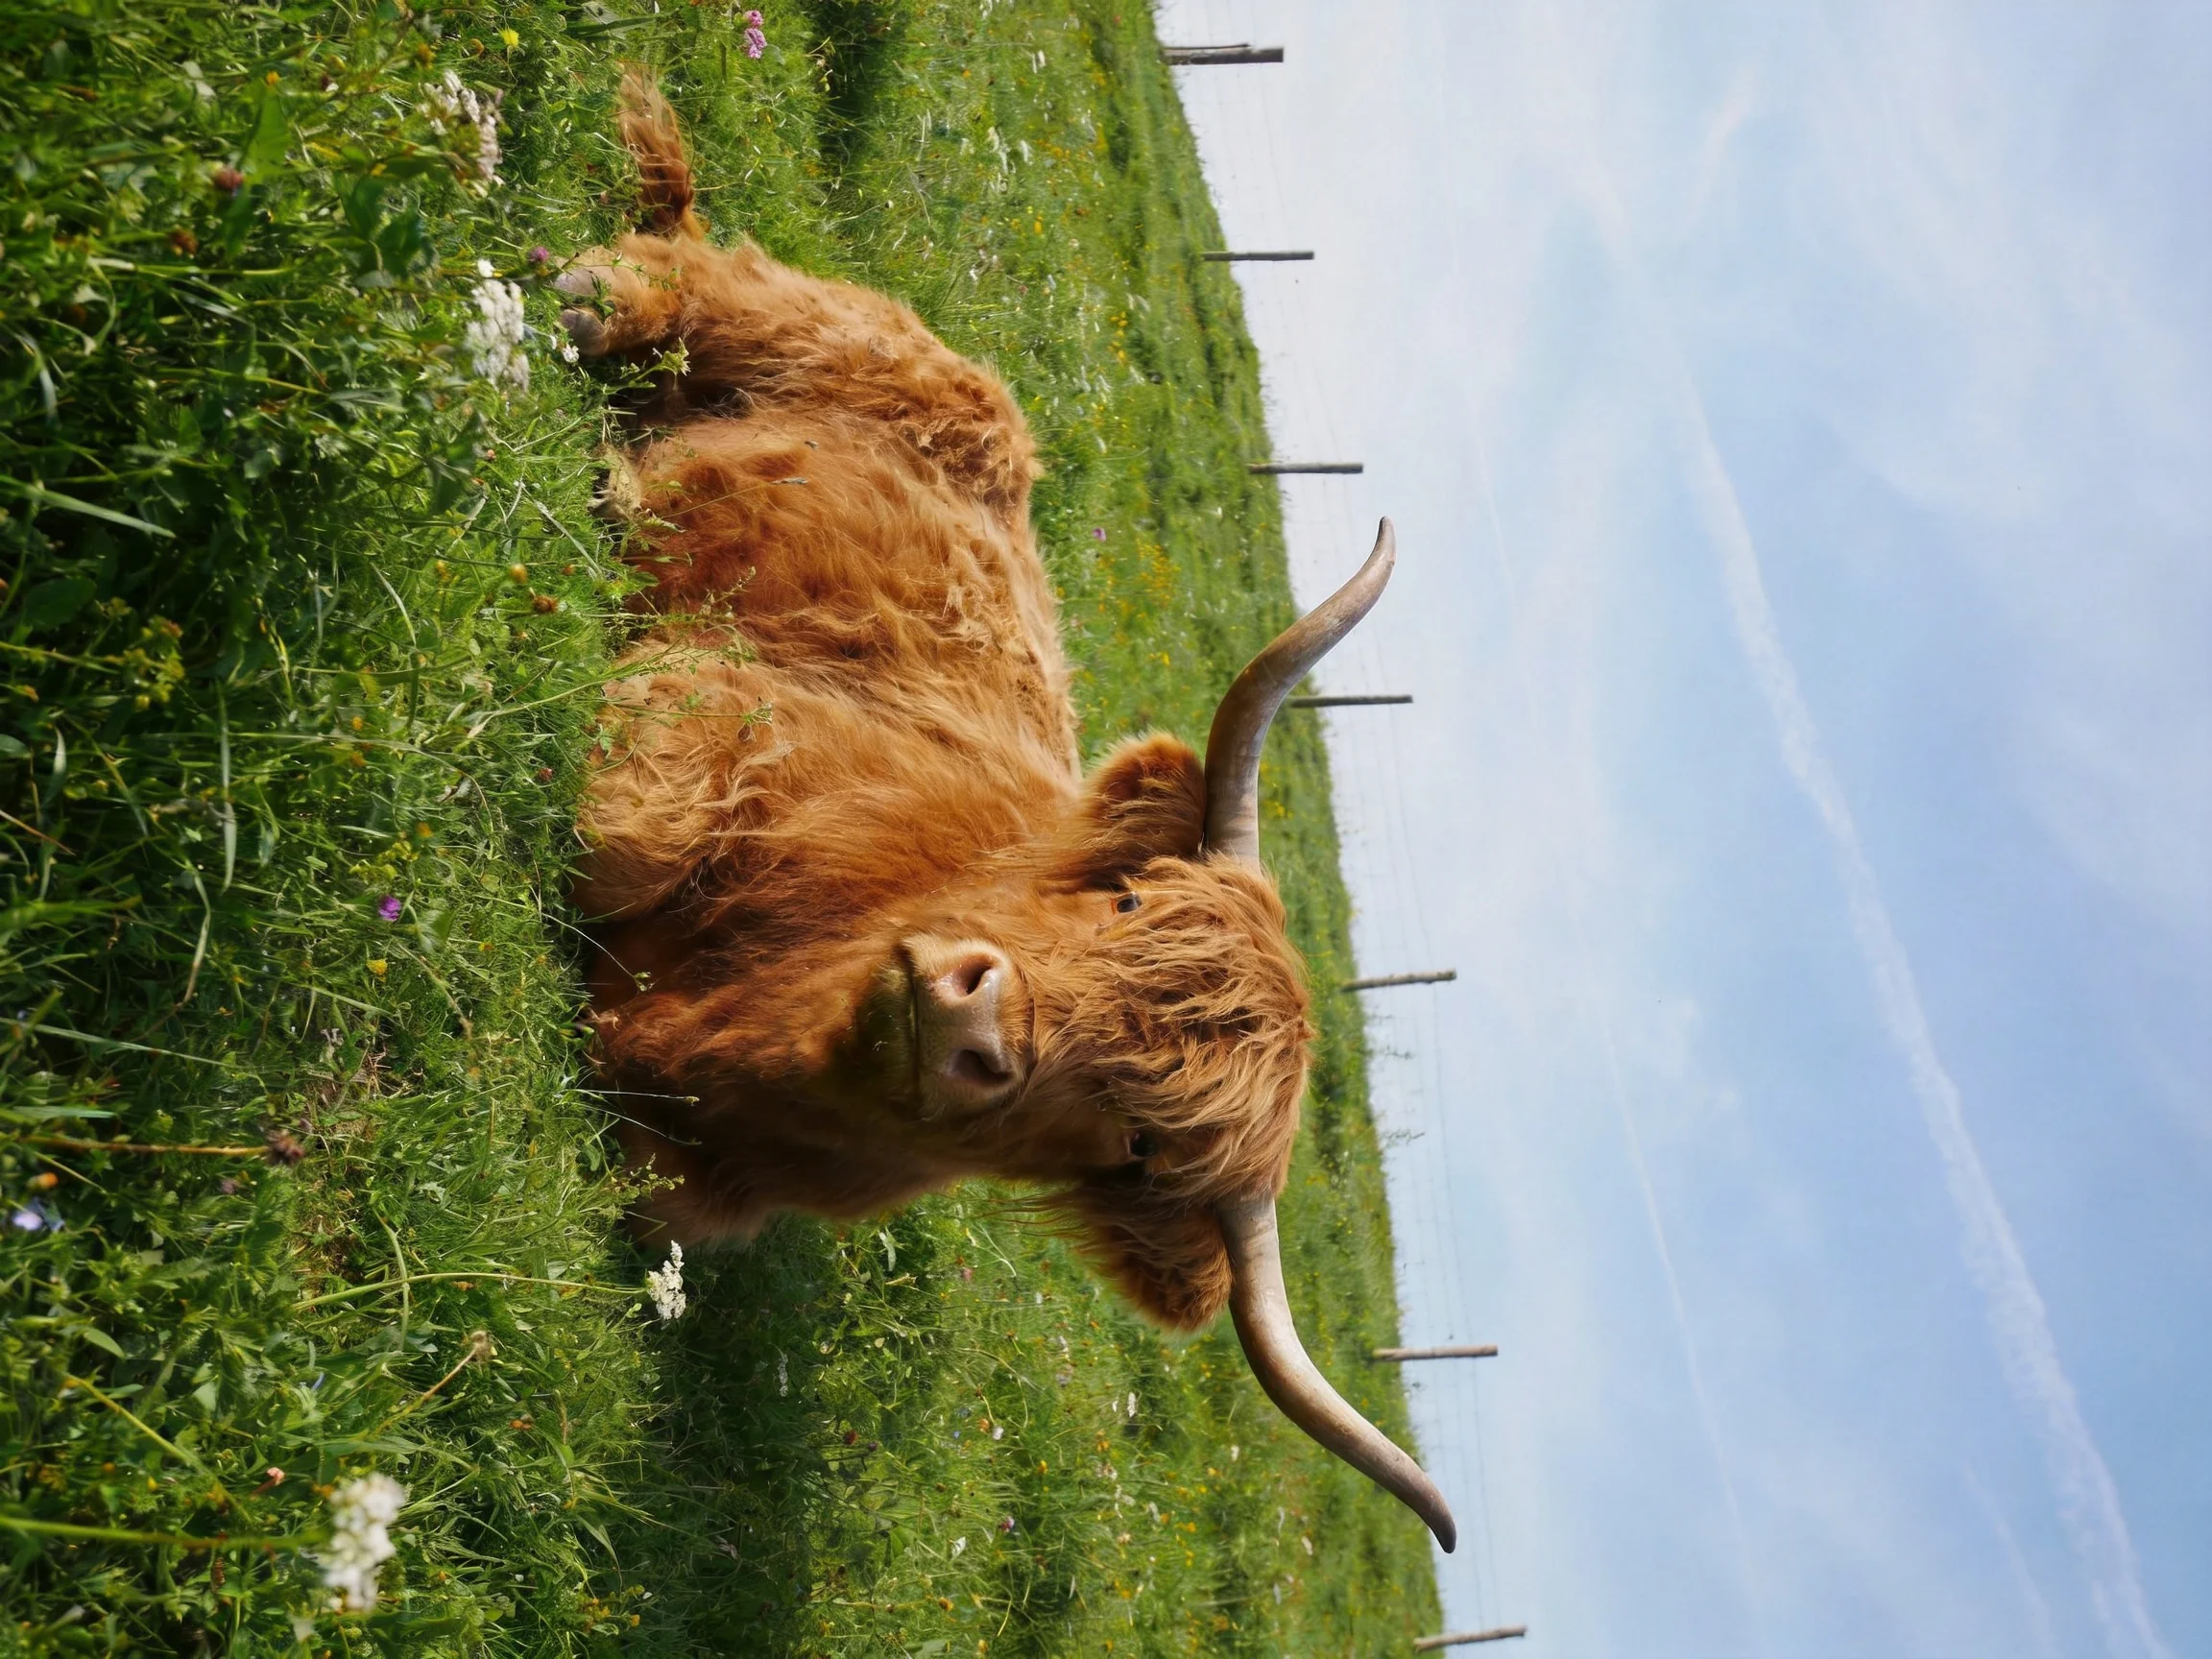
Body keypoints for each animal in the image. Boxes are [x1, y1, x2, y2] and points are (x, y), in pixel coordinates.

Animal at [559, 71, 1452, 1551]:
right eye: (1129, 899)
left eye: (1142, 1145)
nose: (968, 1014)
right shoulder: (715, 714)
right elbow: (614, 824)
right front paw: (623, 507)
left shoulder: (679, 1173)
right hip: (766, 317)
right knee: (680, 267)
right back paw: (593, 321)